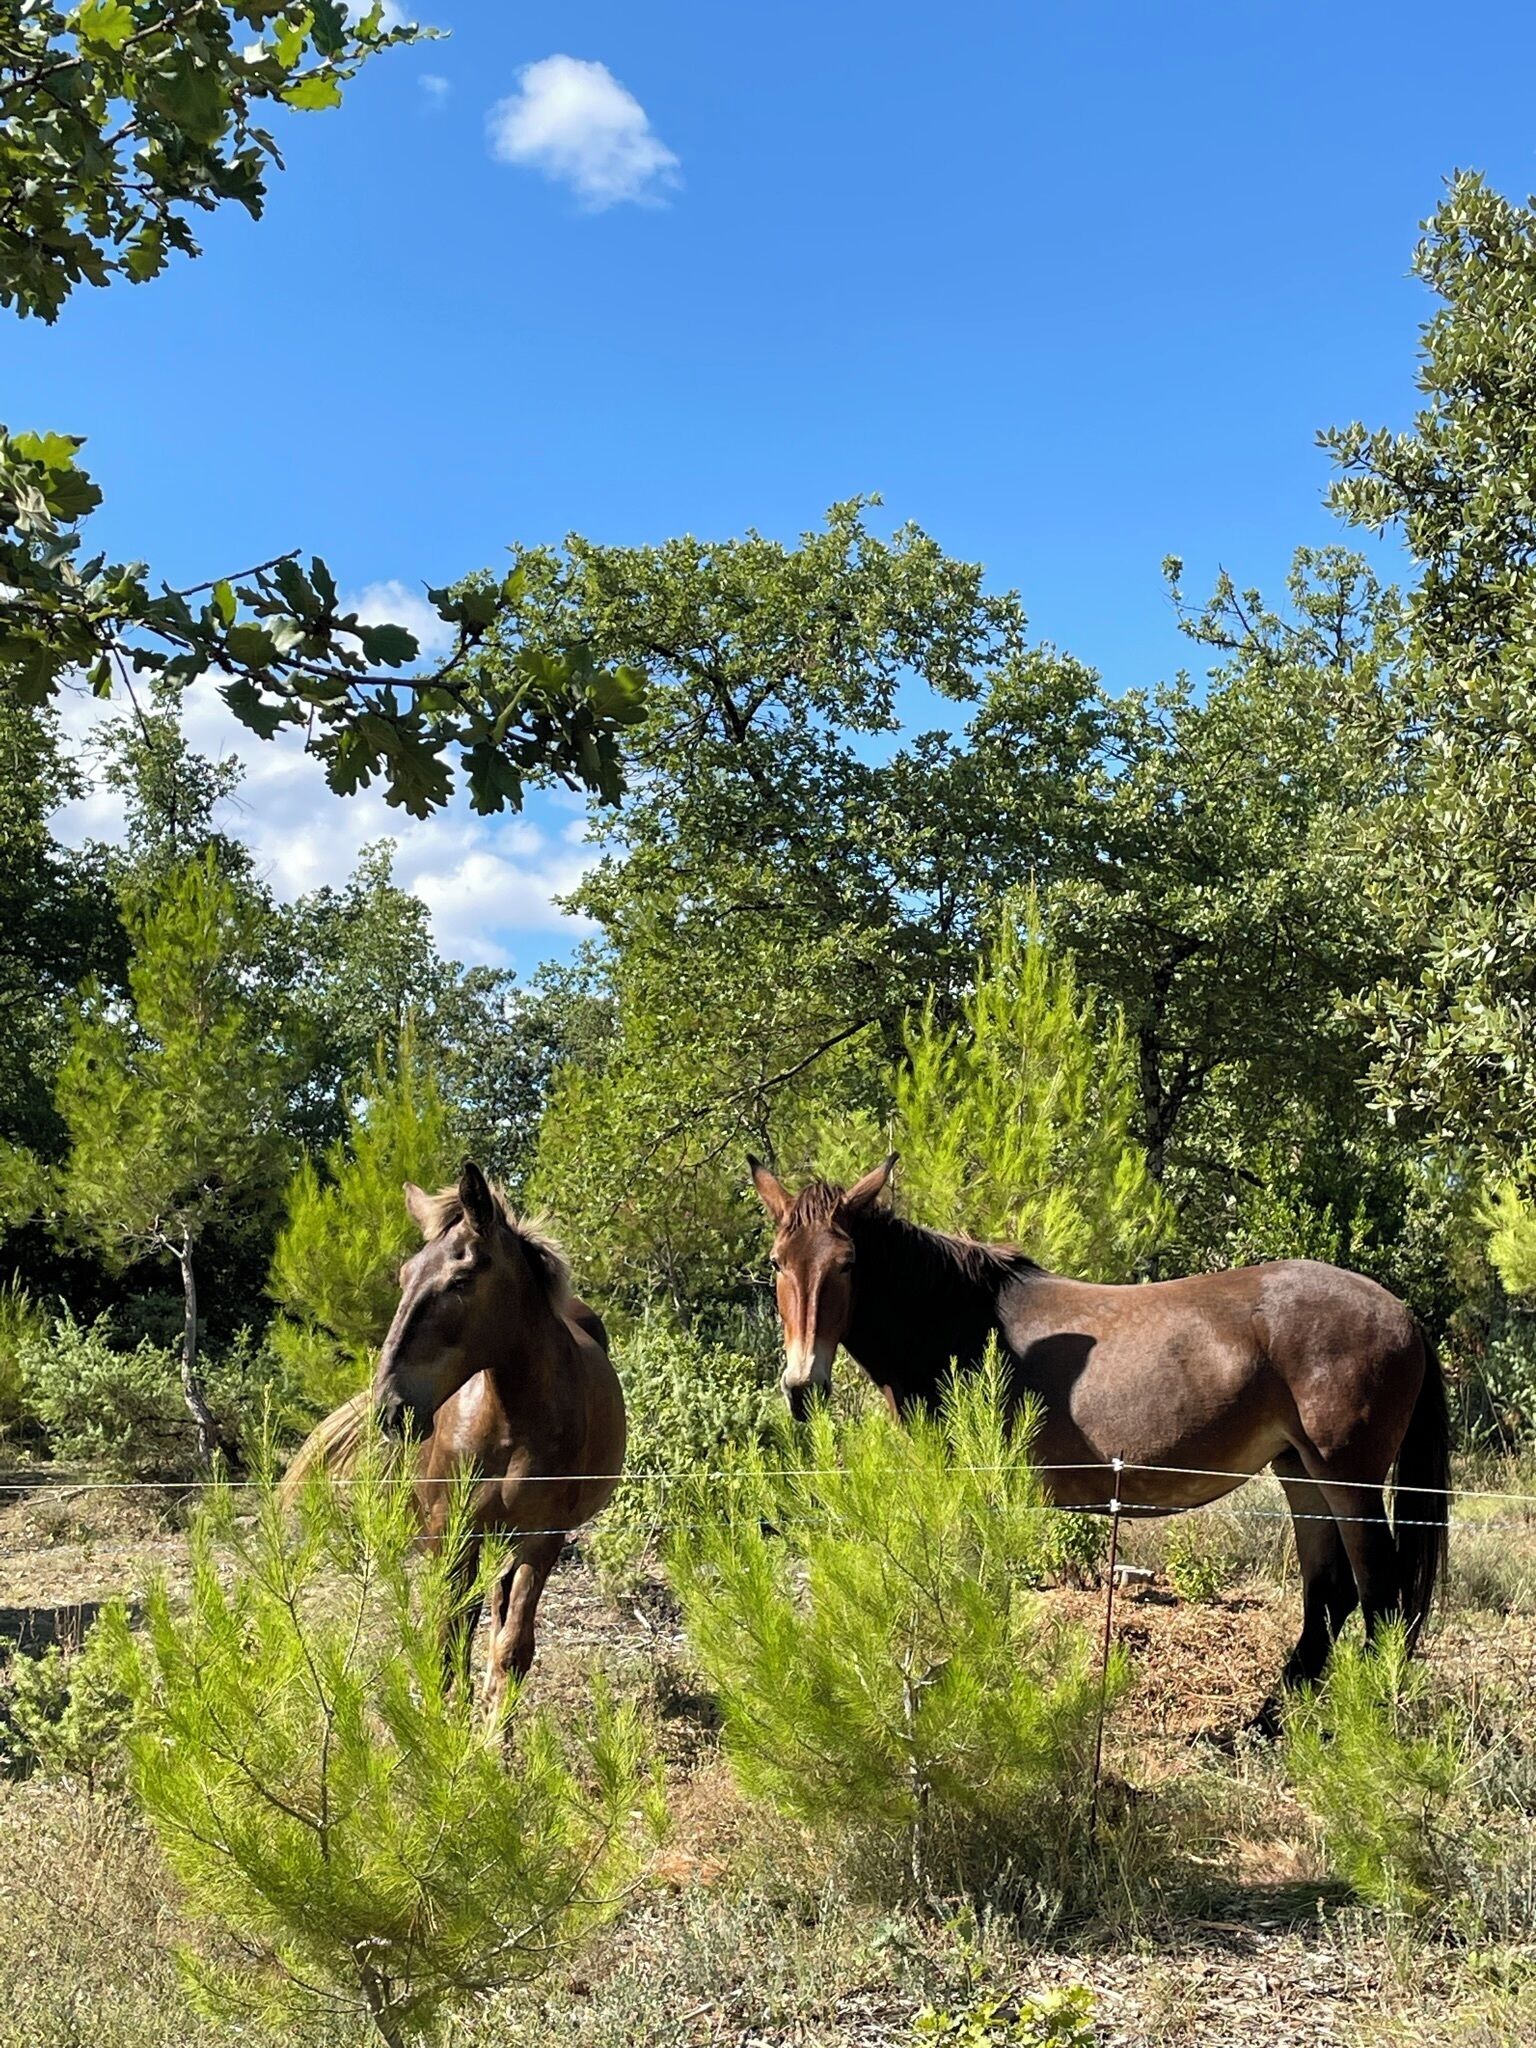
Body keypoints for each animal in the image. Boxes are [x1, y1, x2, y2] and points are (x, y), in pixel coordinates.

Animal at [281, 1162, 626, 1710]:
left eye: (461, 1279)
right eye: (405, 1275)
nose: (392, 1407)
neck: (507, 1426)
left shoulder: (540, 1540)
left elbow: (512, 1648)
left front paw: (493, 1729)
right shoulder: (450, 1535)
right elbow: (447, 1646)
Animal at [748, 1154, 1450, 1731]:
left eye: (847, 1265)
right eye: (778, 1264)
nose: (802, 1386)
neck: (961, 1323)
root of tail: (1403, 1313)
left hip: (1347, 1480)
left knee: (1380, 1598)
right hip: (1300, 1472)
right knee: (1329, 1595)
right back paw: (1266, 1724)